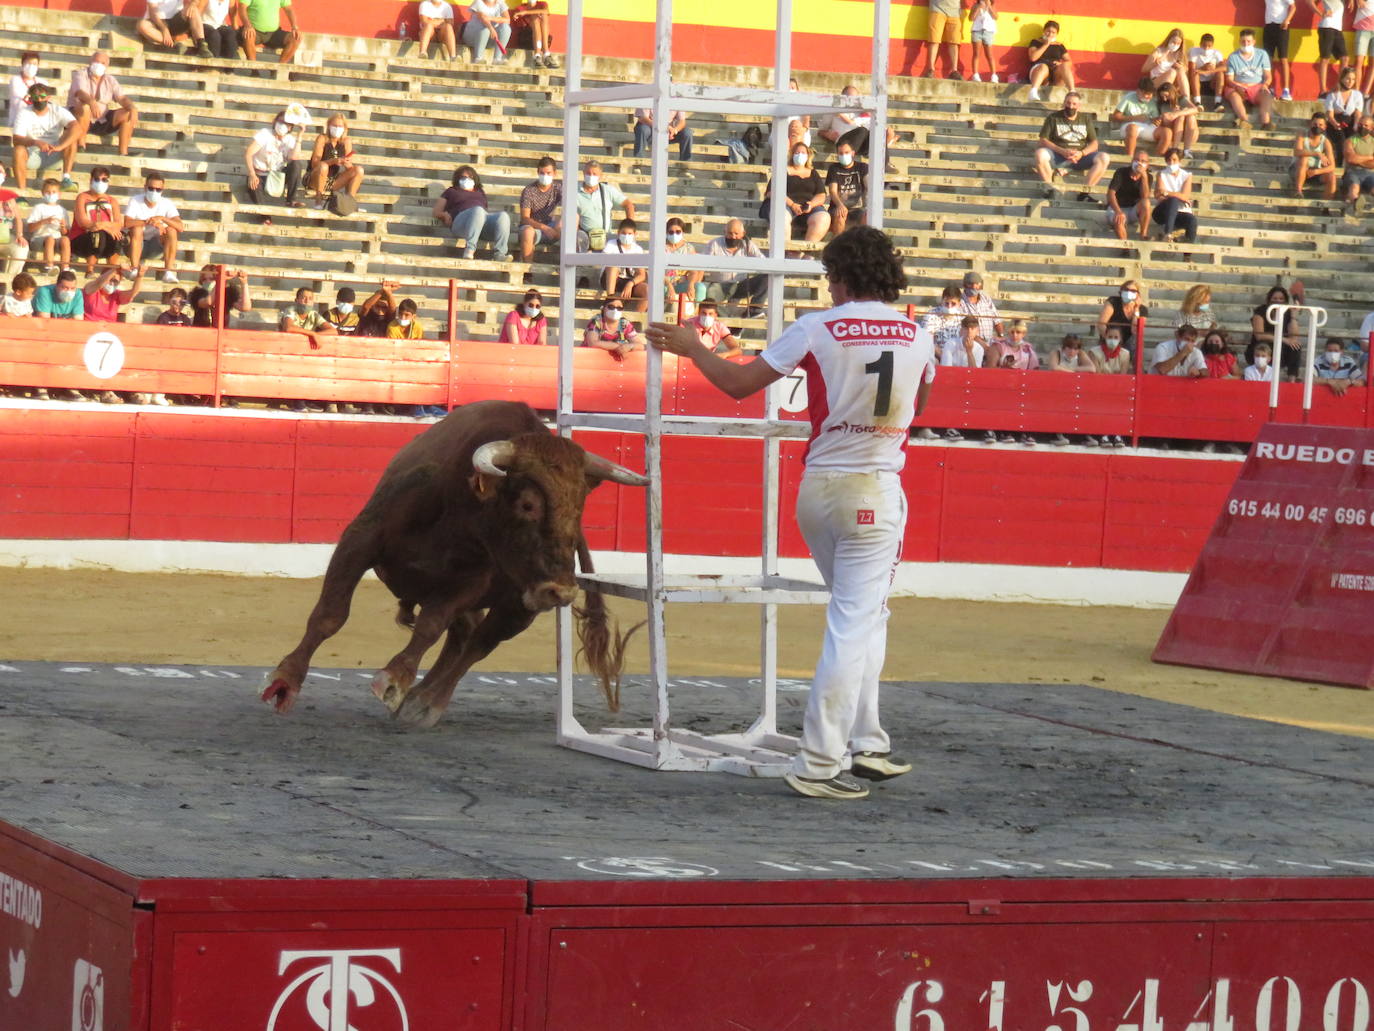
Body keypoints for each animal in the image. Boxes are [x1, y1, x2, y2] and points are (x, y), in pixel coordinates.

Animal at [261, 398, 648, 731]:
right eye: (527, 504)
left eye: (579, 506)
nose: (562, 591)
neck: (461, 510)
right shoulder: (360, 540)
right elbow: (330, 614)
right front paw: (285, 681)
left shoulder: (469, 583)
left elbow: (430, 627)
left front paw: (395, 680)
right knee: (463, 637)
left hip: (520, 606)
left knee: (476, 645)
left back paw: (425, 702)